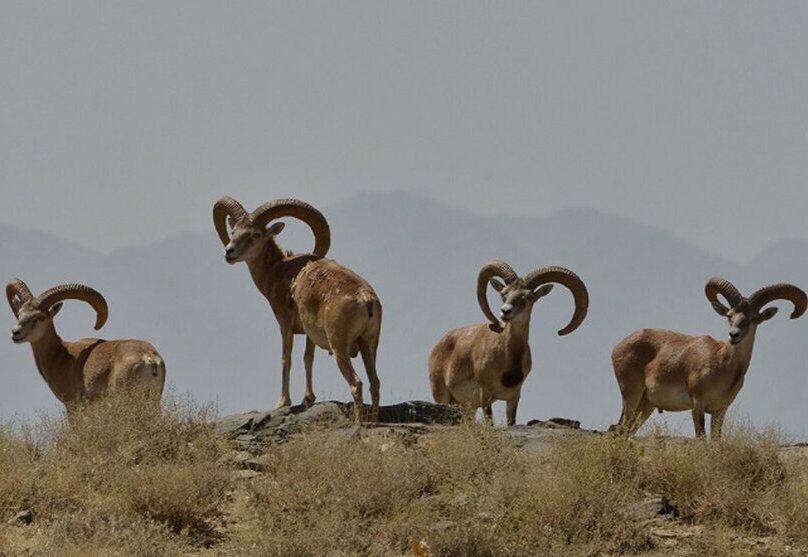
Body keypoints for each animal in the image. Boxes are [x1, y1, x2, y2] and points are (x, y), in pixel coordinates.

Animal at [5, 278, 167, 408]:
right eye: (19, 314)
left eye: (39, 317)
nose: (15, 333)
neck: (60, 356)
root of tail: (149, 358)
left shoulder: (72, 403)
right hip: (154, 400)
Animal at [211, 195, 382, 422]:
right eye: (234, 231)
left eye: (255, 234)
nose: (229, 252)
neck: (280, 270)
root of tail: (366, 299)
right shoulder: (310, 334)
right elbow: (307, 359)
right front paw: (308, 399)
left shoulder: (285, 324)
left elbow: (287, 359)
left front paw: (283, 402)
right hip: (369, 346)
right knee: (375, 383)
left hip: (340, 347)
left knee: (357, 384)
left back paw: (358, 424)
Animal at [430, 262, 588, 426]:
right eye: (504, 293)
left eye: (529, 296)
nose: (505, 311)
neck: (507, 360)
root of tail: (438, 347)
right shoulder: (485, 395)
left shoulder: (513, 397)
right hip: (443, 397)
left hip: (467, 407)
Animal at [616, 276, 804, 436]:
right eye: (730, 316)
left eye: (753, 318)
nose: (733, 335)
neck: (722, 366)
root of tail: (618, 347)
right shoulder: (697, 404)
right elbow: (701, 438)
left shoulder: (720, 410)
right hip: (631, 396)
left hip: (645, 405)